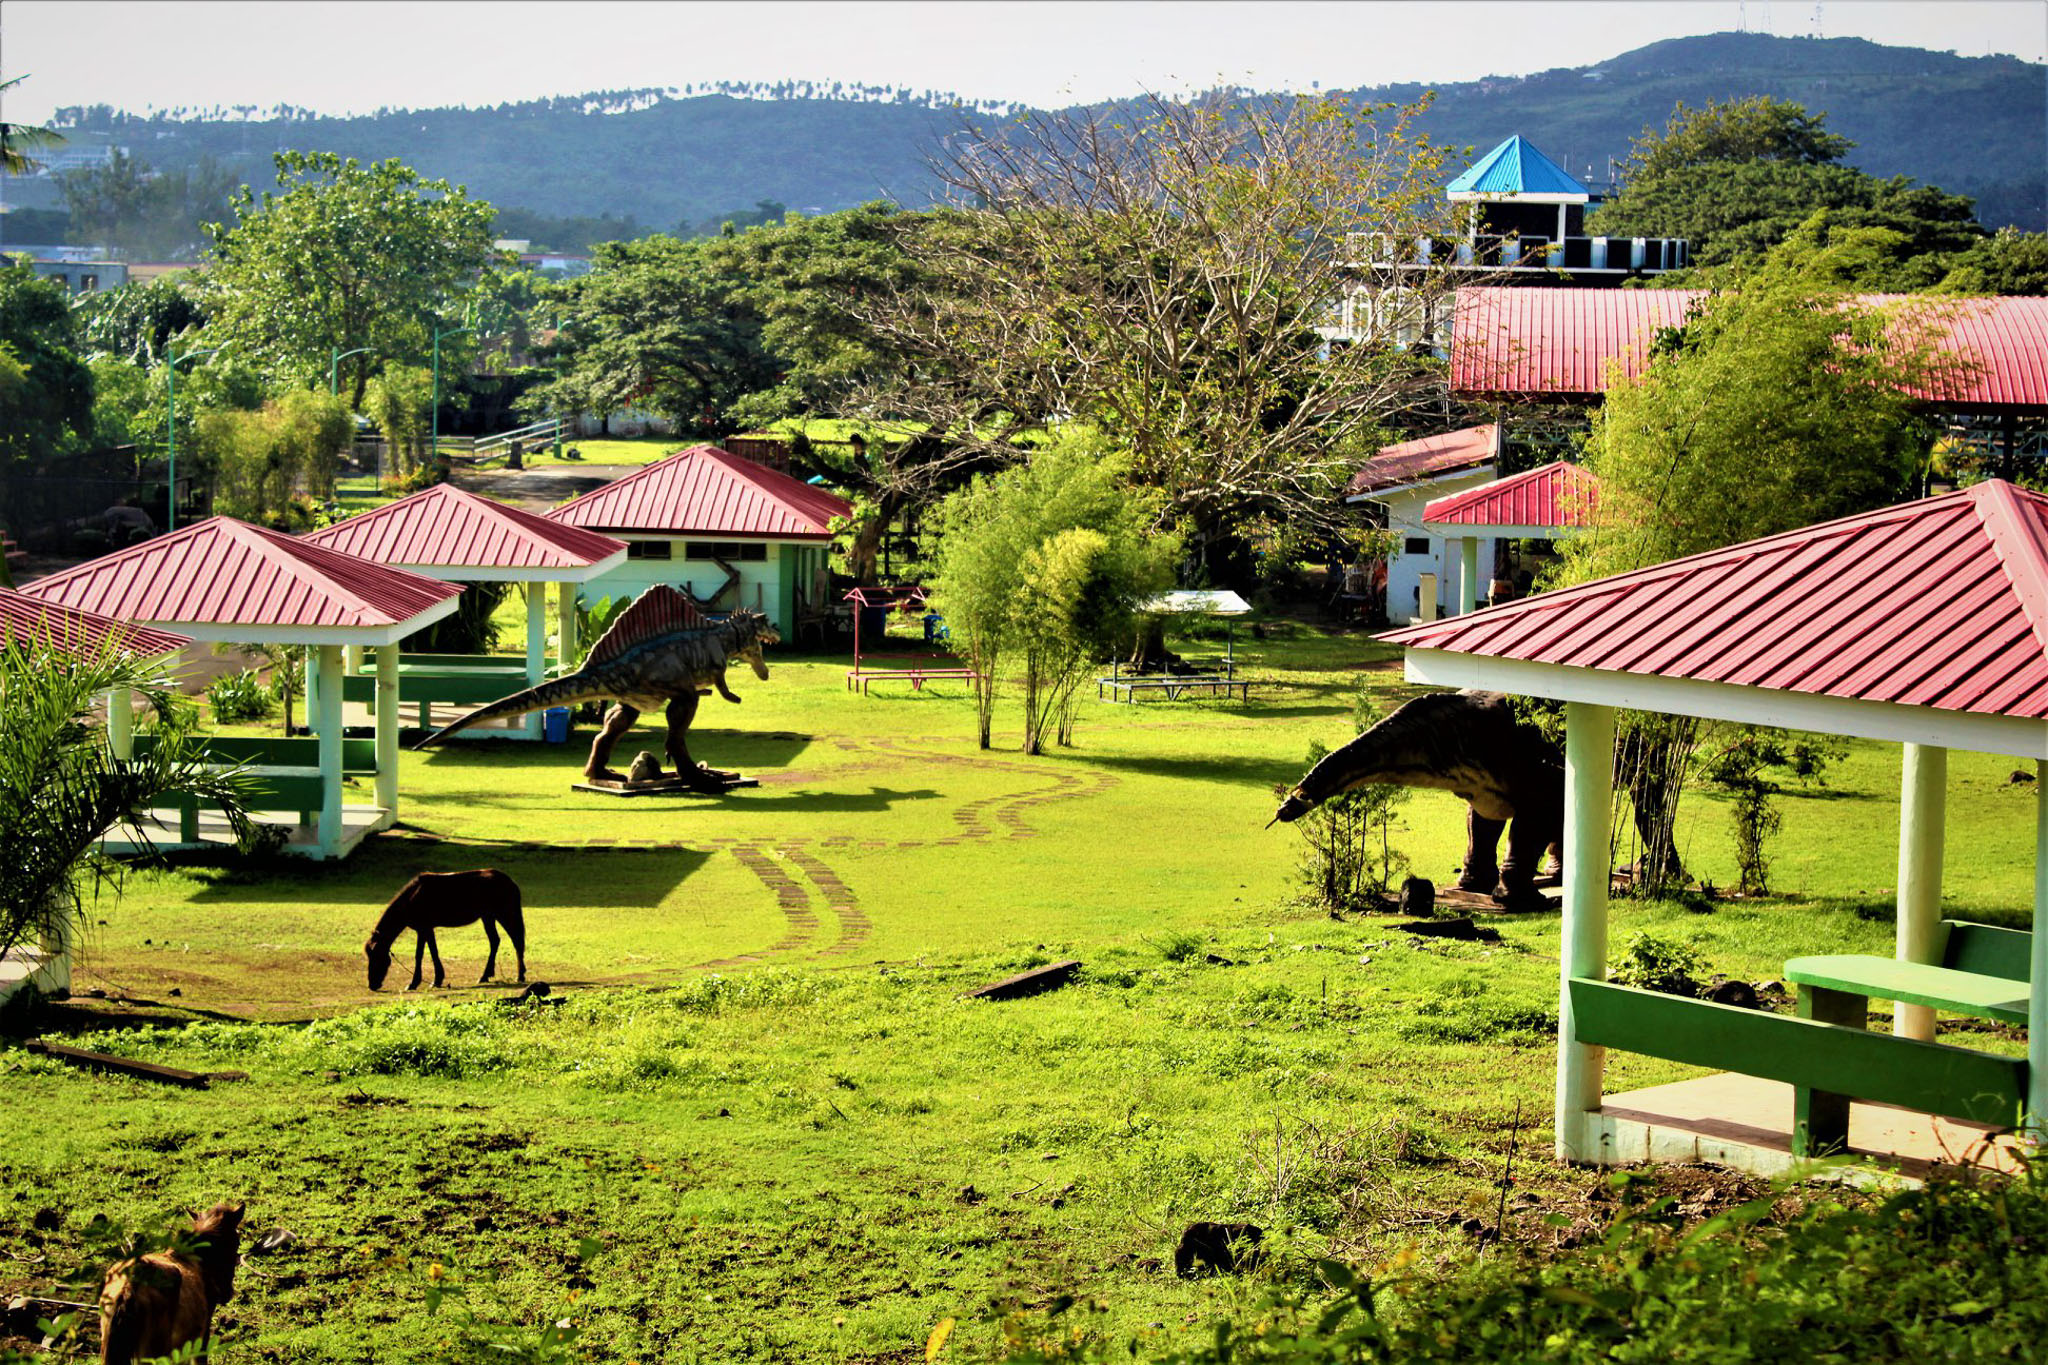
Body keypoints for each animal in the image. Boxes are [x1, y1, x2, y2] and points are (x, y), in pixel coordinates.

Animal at [368, 871, 528, 986]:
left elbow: (425, 954)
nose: (372, 985)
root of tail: (510, 881)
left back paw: (520, 975)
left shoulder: (425, 929)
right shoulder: (424, 930)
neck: (413, 897)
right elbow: (428, 952)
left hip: (505, 915)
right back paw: (485, 976)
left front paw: (422, 982)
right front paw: (430, 980)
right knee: (495, 941)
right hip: (488, 917)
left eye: (376, 957)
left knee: (517, 941)